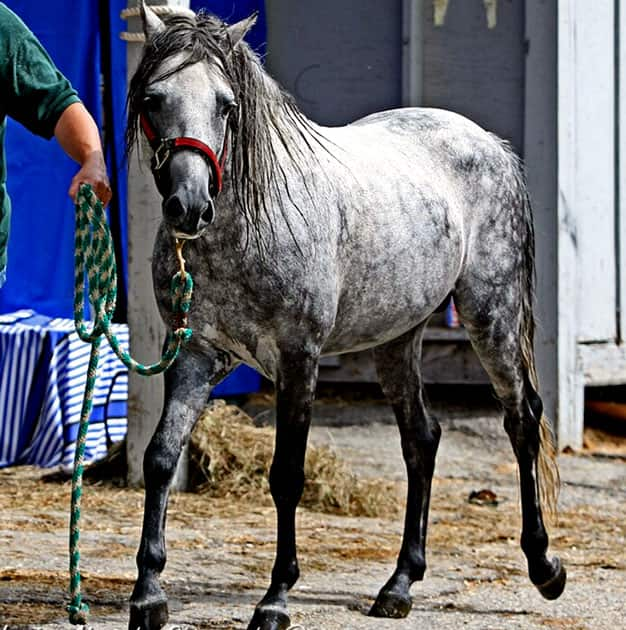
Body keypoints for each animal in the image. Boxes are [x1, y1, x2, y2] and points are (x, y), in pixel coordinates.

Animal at [124, 2, 564, 628]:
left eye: (227, 104)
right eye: (152, 99)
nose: (190, 206)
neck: (248, 226)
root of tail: (491, 144)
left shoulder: (298, 360)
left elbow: (287, 476)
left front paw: (275, 599)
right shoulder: (197, 354)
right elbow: (160, 458)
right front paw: (148, 595)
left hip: (491, 315)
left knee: (522, 418)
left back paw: (544, 567)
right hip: (398, 338)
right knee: (422, 439)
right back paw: (400, 585)